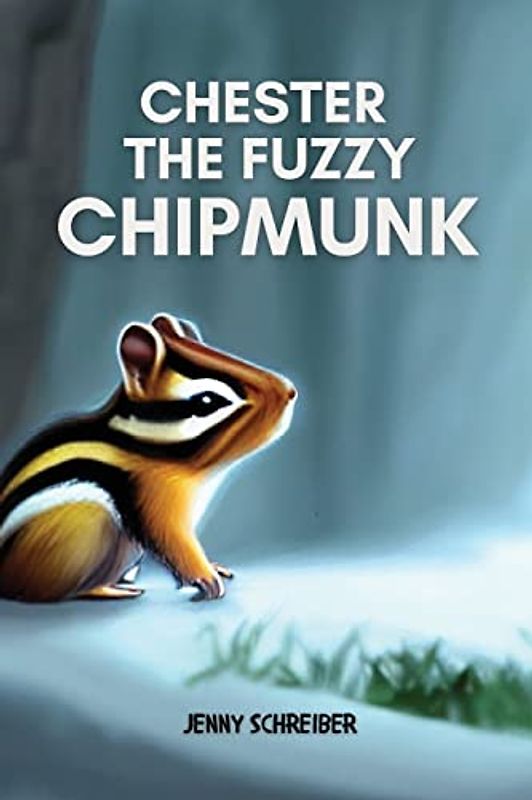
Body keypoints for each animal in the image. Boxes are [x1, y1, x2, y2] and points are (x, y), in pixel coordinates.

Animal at [0, 313, 296, 603]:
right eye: (207, 401)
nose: (290, 392)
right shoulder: (157, 505)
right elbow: (176, 544)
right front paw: (206, 578)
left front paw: (214, 568)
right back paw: (109, 589)